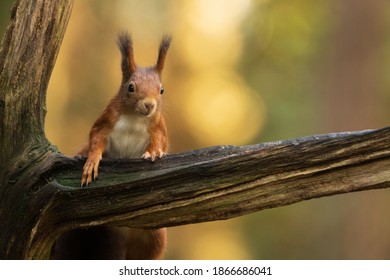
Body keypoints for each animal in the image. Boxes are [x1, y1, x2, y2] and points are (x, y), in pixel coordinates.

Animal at [50, 31, 171, 260]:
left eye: (161, 90)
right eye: (131, 87)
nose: (149, 105)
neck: (135, 118)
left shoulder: (158, 127)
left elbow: (160, 143)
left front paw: (154, 152)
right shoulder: (106, 121)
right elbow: (95, 140)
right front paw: (91, 162)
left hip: (152, 238)